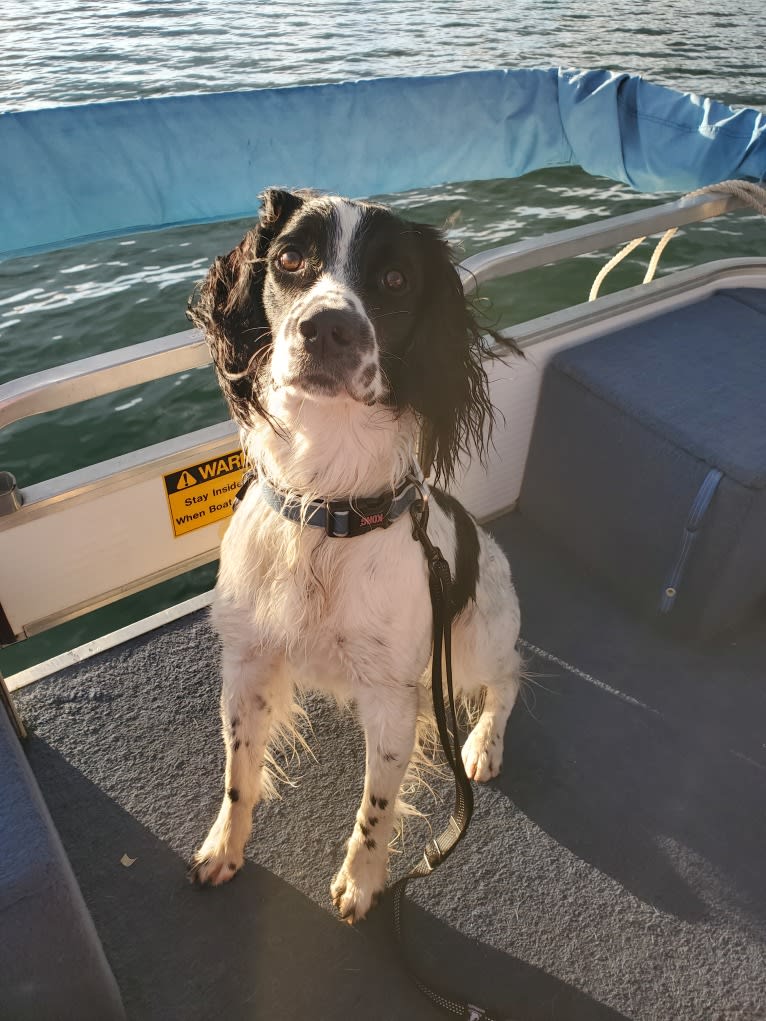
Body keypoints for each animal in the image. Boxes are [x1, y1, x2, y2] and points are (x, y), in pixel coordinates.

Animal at [187, 187, 522, 922]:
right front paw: (224, 849)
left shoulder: (393, 698)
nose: (327, 329)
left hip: (474, 643)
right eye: (288, 258)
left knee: (512, 676)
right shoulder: (247, 662)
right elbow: (238, 773)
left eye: (395, 279)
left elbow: (377, 806)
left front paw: (361, 883)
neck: (325, 509)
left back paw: (483, 745)